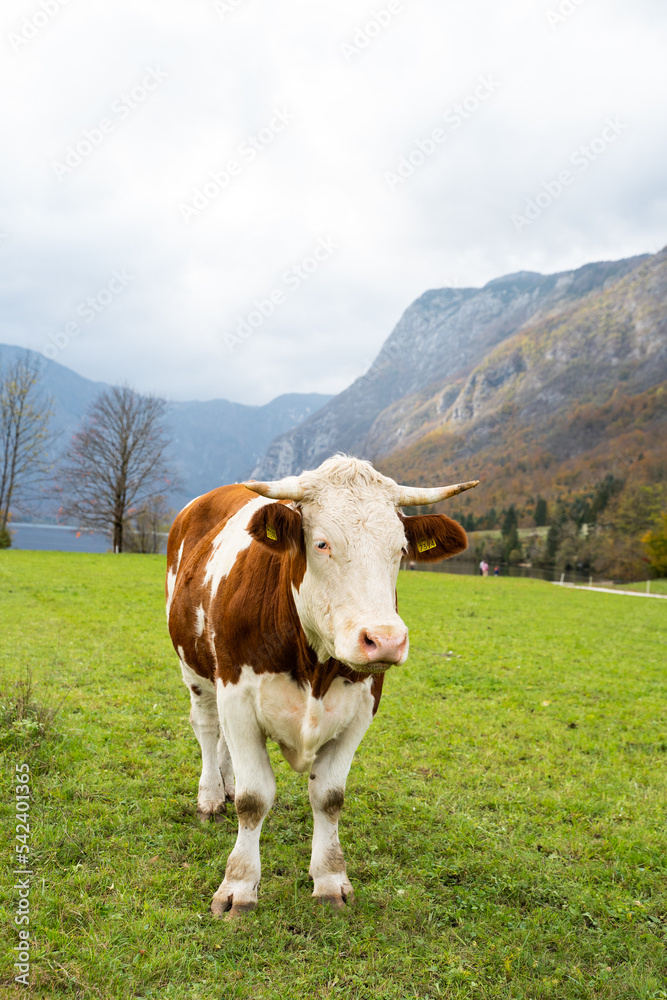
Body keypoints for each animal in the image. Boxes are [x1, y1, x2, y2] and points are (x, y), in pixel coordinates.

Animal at [167, 458, 480, 916]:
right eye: (321, 544)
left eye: (400, 550)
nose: (385, 640)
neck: (313, 666)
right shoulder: (237, 695)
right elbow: (253, 799)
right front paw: (238, 886)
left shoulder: (362, 708)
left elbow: (329, 797)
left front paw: (331, 879)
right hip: (196, 671)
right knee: (207, 728)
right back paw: (210, 795)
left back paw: (224, 784)